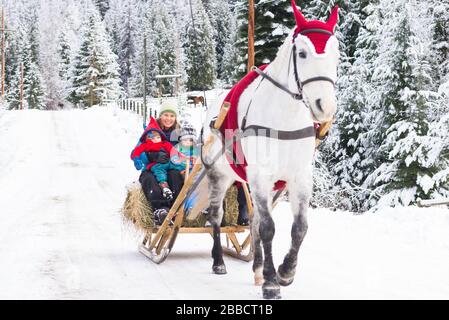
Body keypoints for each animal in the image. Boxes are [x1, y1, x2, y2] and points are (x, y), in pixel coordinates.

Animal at [201, 0, 338, 300]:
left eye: (336, 54)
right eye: (302, 53)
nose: (325, 106)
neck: (284, 119)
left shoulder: (299, 178)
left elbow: (299, 228)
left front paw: (285, 271)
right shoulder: (260, 176)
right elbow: (267, 228)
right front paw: (272, 281)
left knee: (252, 219)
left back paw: (256, 267)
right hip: (220, 175)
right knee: (217, 216)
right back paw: (218, 261)